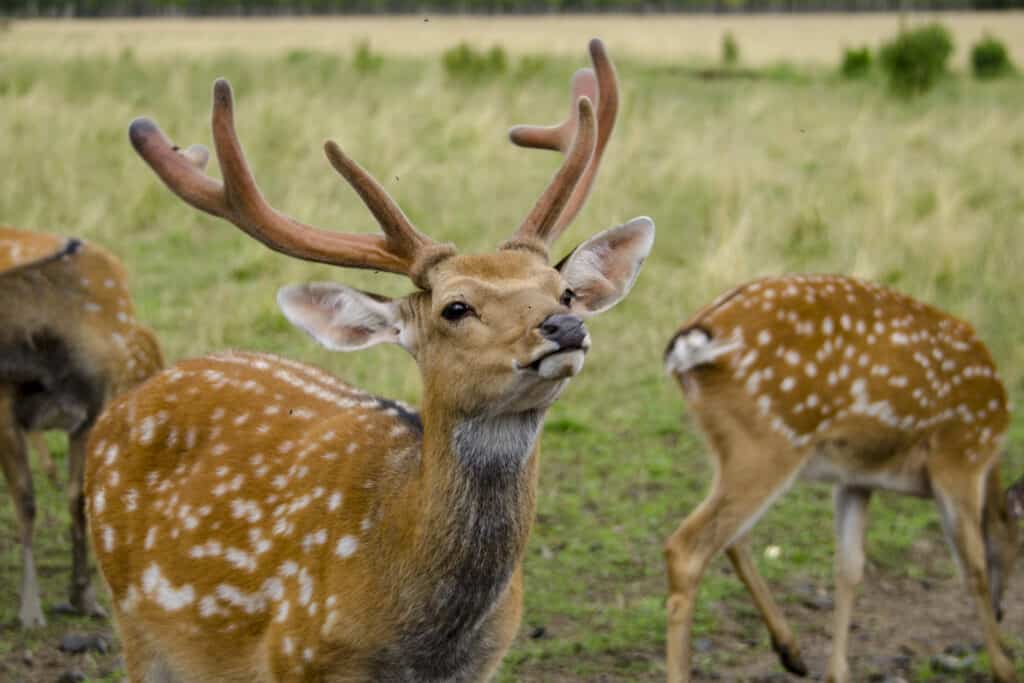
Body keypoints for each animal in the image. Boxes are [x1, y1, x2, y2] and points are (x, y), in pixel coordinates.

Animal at [1, 227, 163, 626]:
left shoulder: (90, 409)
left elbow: (77, 498)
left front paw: (84, 597)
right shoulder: (3, 403)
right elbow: (26, 500)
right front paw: (30, 610)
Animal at [83, 38, 651, 683]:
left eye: (564, 292)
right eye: (456, 307)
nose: (564, 326)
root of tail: (128, 401)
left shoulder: (485, 662)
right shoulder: (293, 656)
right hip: (134, 618)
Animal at [663, 274, 1024, 683]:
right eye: (1019, 545)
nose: (1002, 610)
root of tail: (693, 340)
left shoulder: (855, 479)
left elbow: (849, 568)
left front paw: (836, 673)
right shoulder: (960, 457)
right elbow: (973, 569)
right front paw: (1005, 668)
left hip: (730, 445)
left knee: (732, 537)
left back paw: (792, 652)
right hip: (767, 442)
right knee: (687, 547)